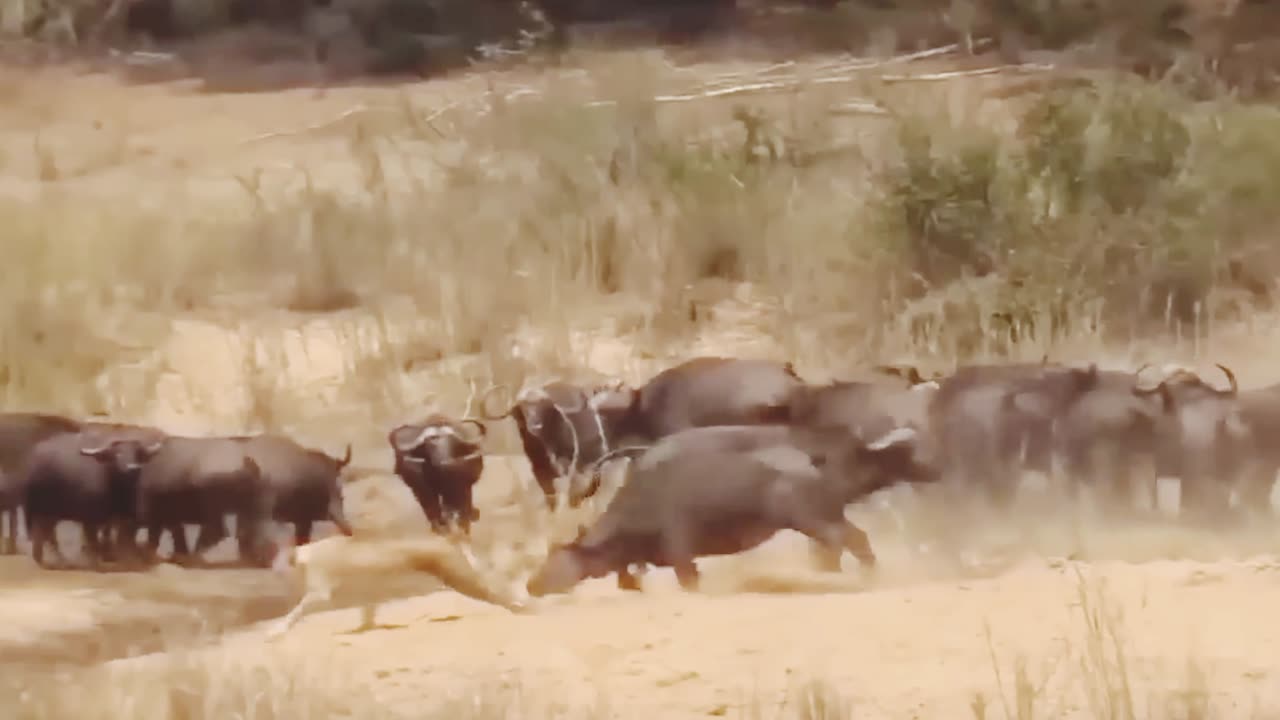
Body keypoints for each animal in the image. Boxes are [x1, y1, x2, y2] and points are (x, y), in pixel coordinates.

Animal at [524, 420, 936, 594]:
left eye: (558, 556)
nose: (531, 584)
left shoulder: (682, 553)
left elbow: (687, 580)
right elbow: (628, 577)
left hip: (811, 517)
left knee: (853, 540)